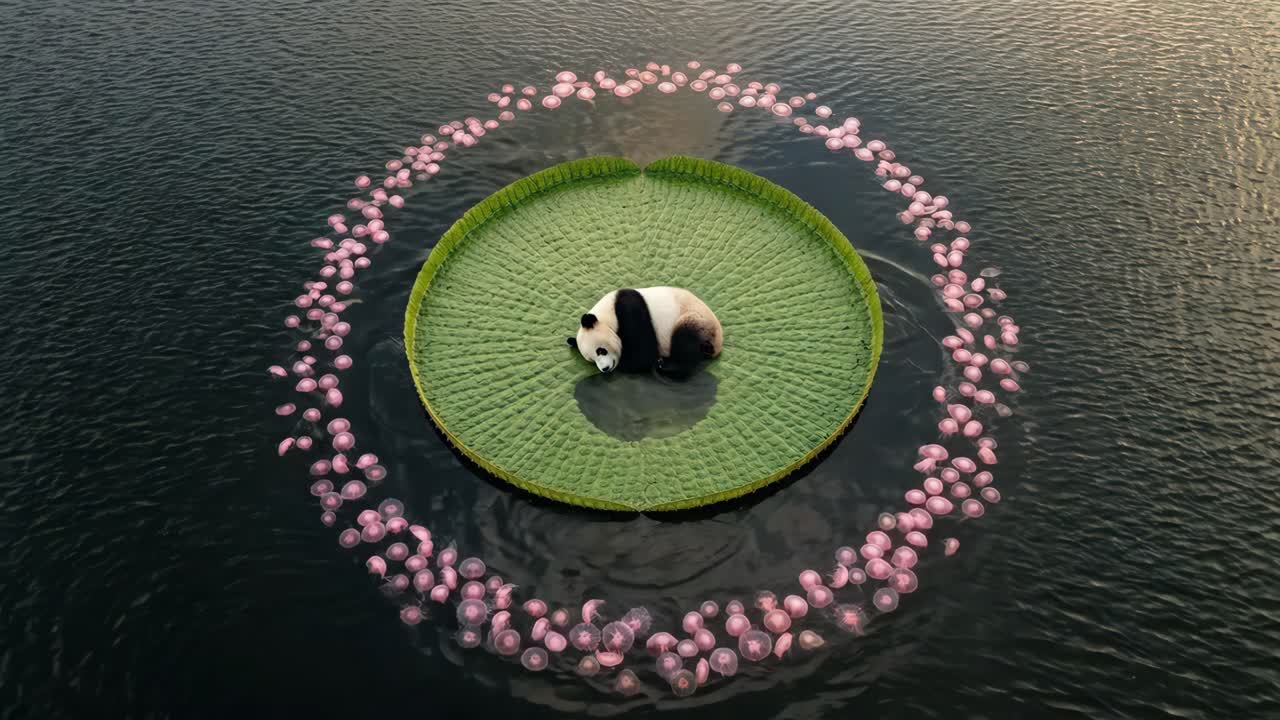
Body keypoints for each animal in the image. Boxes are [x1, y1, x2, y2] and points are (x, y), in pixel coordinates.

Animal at [566, 286, 723, 377]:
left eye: (600, 351)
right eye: (592, 361)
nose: (605, 369)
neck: (607, 316)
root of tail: (717, 343)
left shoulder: (629, 311)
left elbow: (643, 355)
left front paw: (627, 360)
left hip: (695, 319)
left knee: (684, 341)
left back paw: (666, 366)